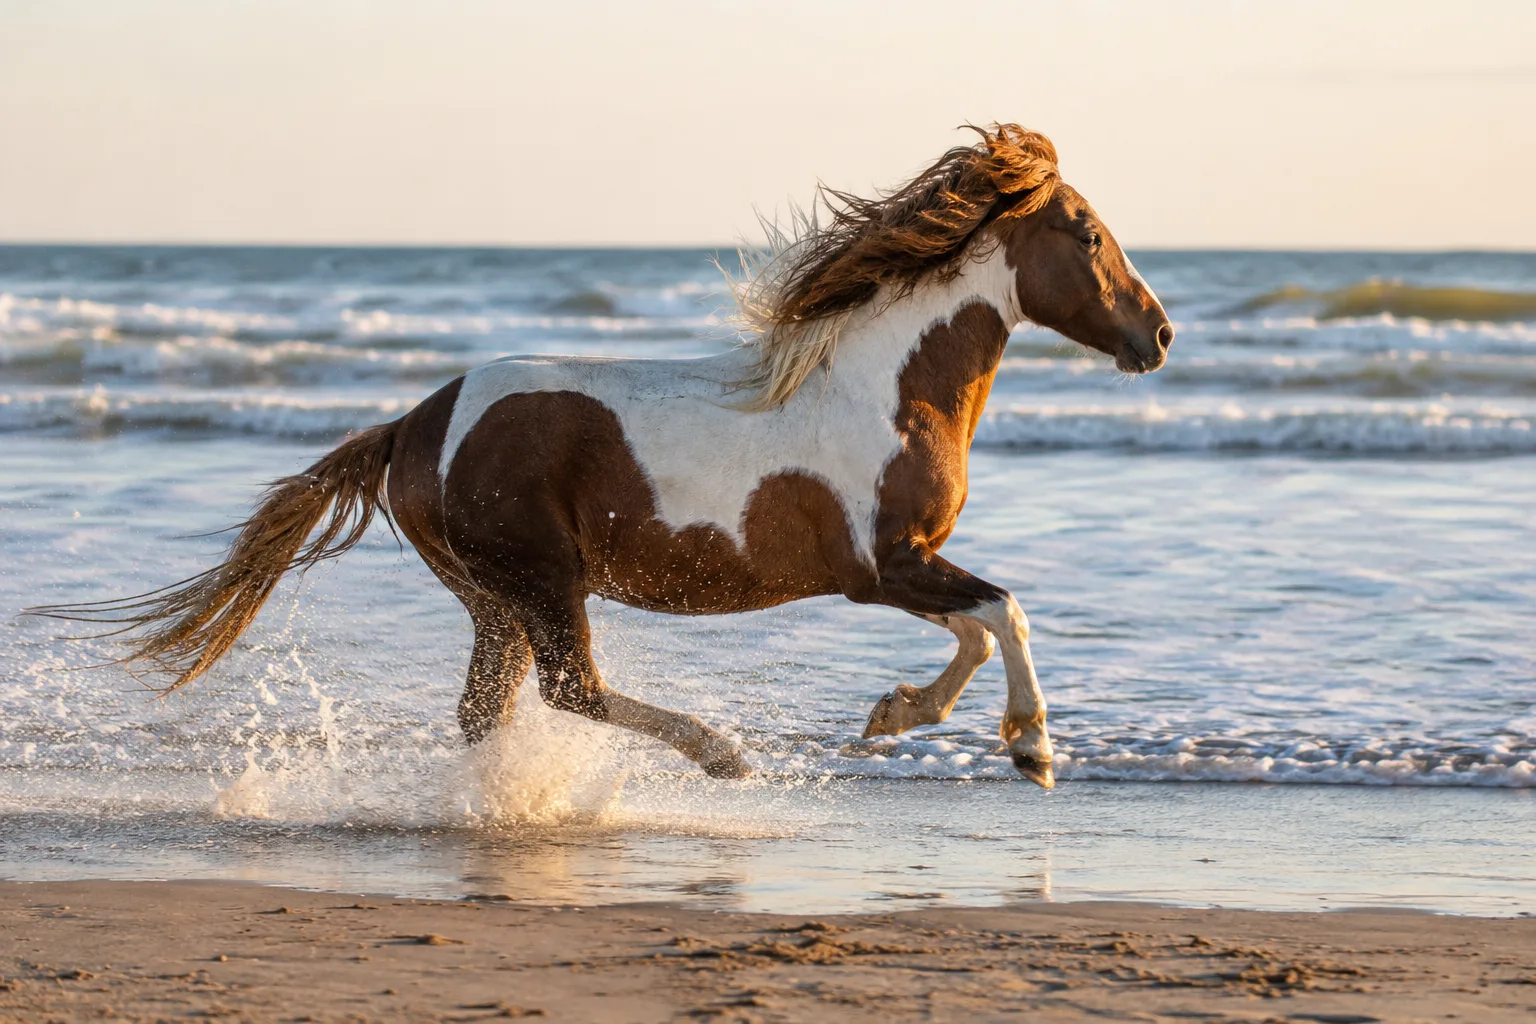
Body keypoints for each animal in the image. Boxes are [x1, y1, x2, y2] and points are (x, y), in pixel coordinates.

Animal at [34, 124, 1172, 790]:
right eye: (1087, 233)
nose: (1157, 336)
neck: (883, 388)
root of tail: (416, 423)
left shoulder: (905, 565)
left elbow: (978, 625)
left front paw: (896, 715)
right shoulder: (880, 566)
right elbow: (1004, 610)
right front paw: (1029, 745)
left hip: (492, 597)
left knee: (491, 709)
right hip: (541, 580)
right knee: (571, 689)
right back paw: (721, 754)